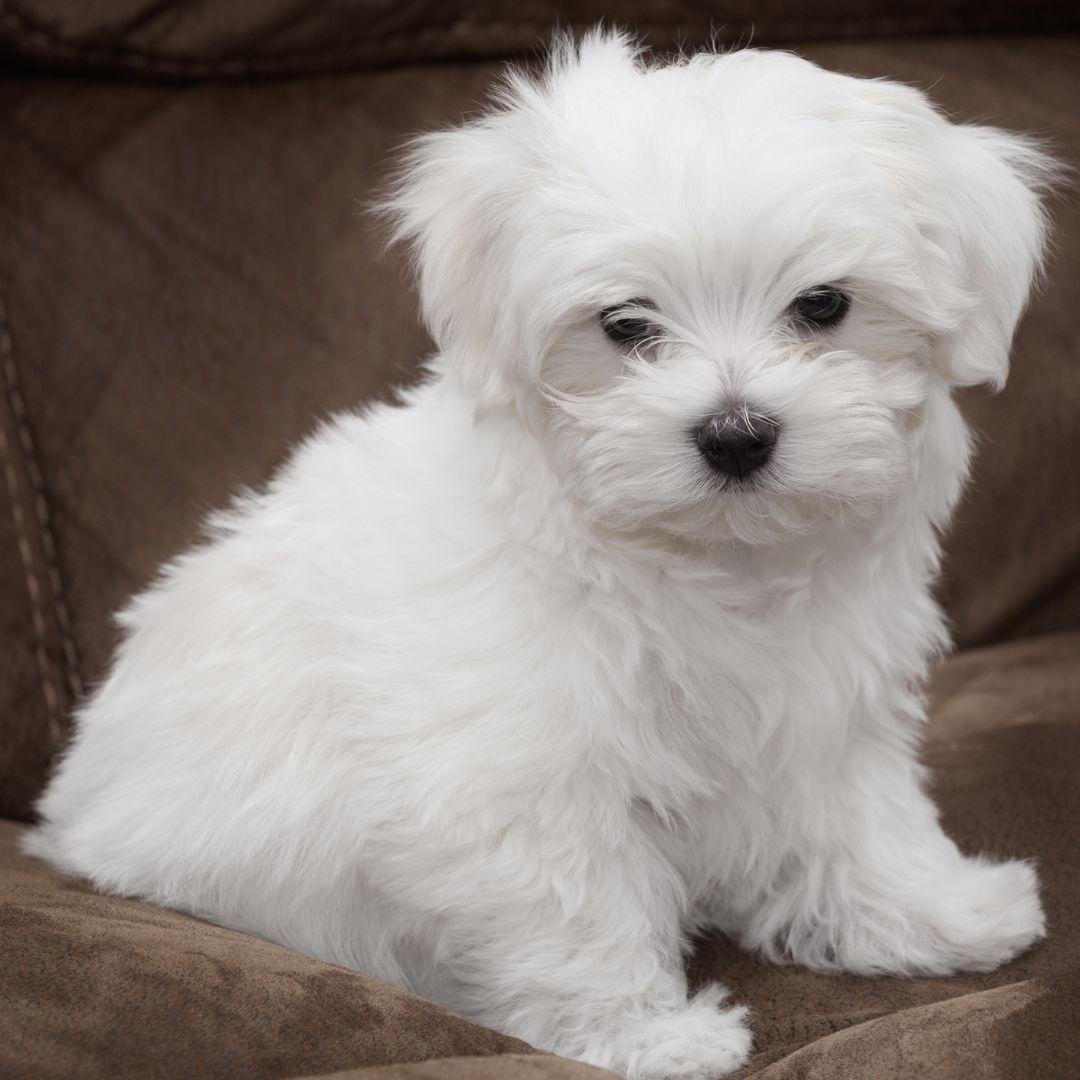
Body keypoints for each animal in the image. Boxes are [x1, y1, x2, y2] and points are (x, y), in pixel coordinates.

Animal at [27, 33, 1054, 1080]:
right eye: (626, 324)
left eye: (824, 305)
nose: (735, 435)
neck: (712, 566)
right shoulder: (518, 775)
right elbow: (577, 903)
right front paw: (645, 1036)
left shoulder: (826, 708)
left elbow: (861, 819)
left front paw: (935, 912)